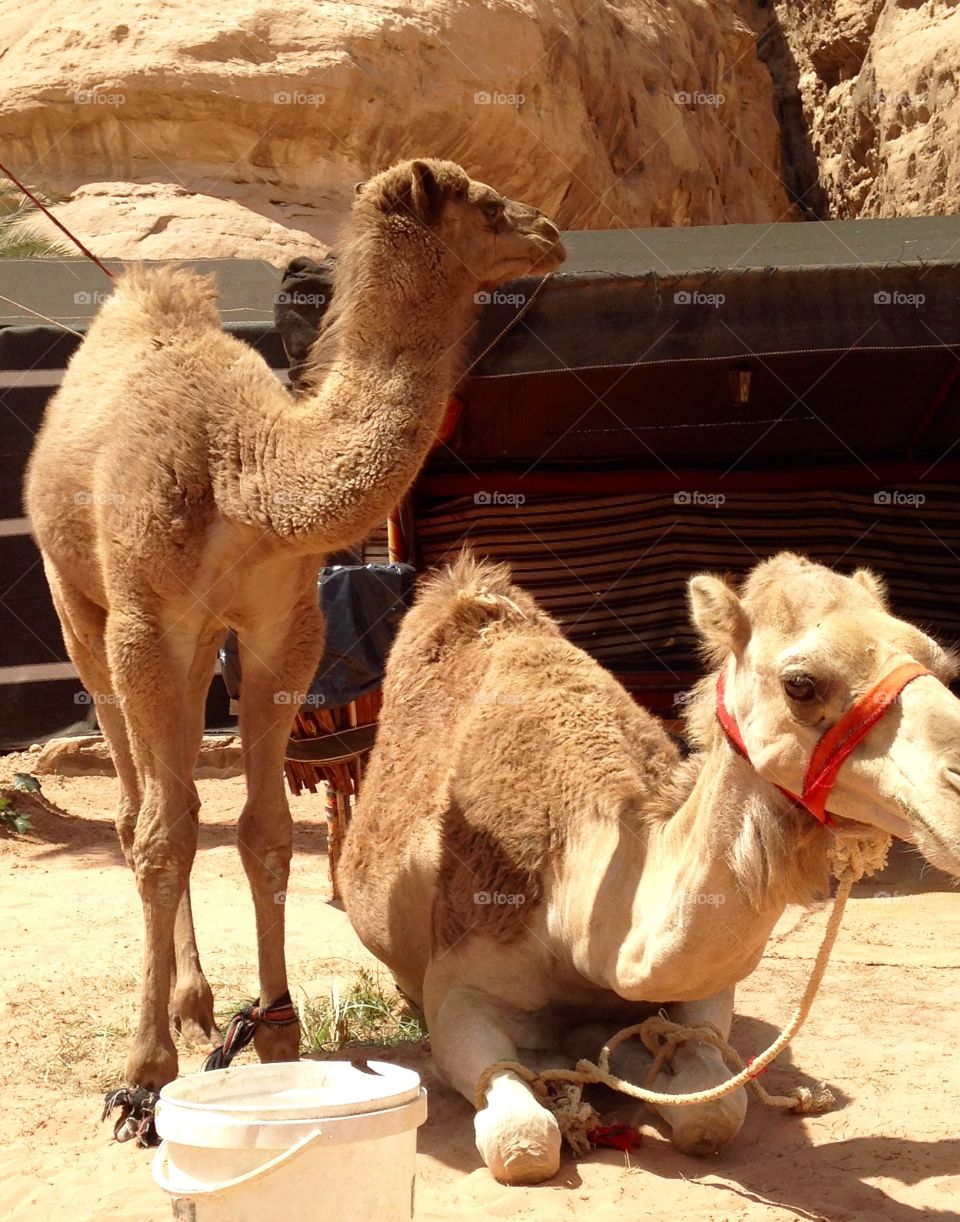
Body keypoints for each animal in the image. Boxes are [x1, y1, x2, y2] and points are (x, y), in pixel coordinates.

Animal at [23, 159, 564, 1093]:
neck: (246, 473)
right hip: (83, 611)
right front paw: (143, 1070)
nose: (550, 231)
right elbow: (161, 836)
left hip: (201, 646)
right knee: (136, 806)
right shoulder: (144, 622)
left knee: (181, 796)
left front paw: (276, 1032)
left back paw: (199, 1002)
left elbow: (265, 832)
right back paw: (172, 1014)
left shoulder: (283, 628)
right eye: (483, 203)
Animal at [340, 550, 960, 1185]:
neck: (576, 907)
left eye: (943, 666)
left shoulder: (703, 993)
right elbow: (525, 1141)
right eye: (801, 684)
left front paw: (624, 1061)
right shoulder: (458, 985)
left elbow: (714, 1110)